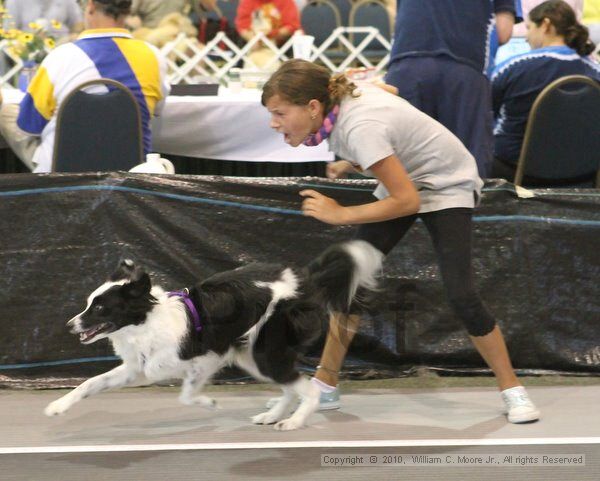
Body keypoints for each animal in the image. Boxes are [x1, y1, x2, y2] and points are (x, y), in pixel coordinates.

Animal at [44, 240, 382, 432]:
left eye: (100, 308)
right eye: (89, 303)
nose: (70, 325)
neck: (147, 322)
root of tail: (305, 280)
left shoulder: (206, 359)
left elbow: (186, 394)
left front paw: (210, 403)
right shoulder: (137, 368)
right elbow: (90, 384)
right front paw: (57, 406)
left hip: (265, 351)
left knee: (306, 388)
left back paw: (294, 421)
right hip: (252, 355)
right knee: (290, 386)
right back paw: (273, 415)